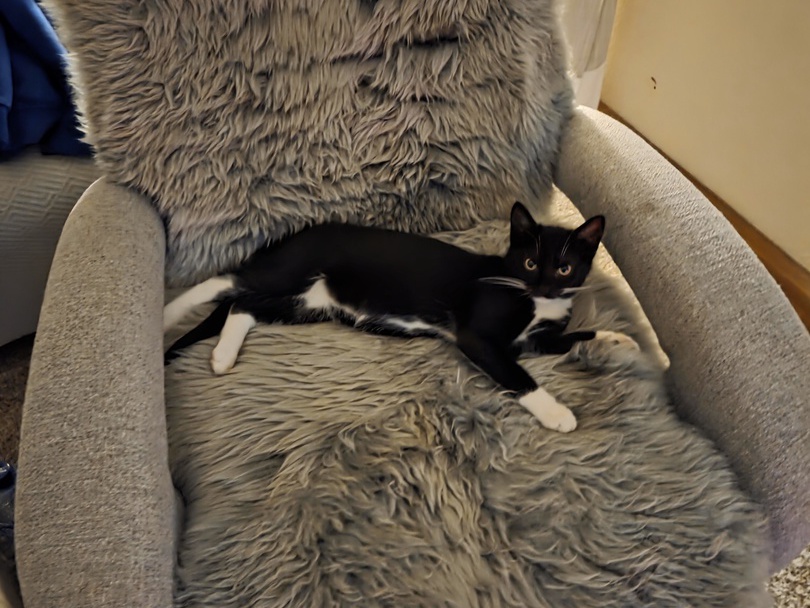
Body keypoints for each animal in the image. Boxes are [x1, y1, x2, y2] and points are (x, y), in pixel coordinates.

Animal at [163, 202, 638, 432]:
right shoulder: (479, 336)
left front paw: (617, 340)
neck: (534, 302)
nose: (544, 287)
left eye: (565, 269)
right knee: (229, 281)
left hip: (309, 304)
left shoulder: (534, 339)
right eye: (529, 263)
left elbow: (565, 338)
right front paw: (556, 413)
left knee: (244, 304)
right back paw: (168, 312)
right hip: (289, 272)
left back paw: (223, 356)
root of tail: (295, 234)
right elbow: (518, 375)